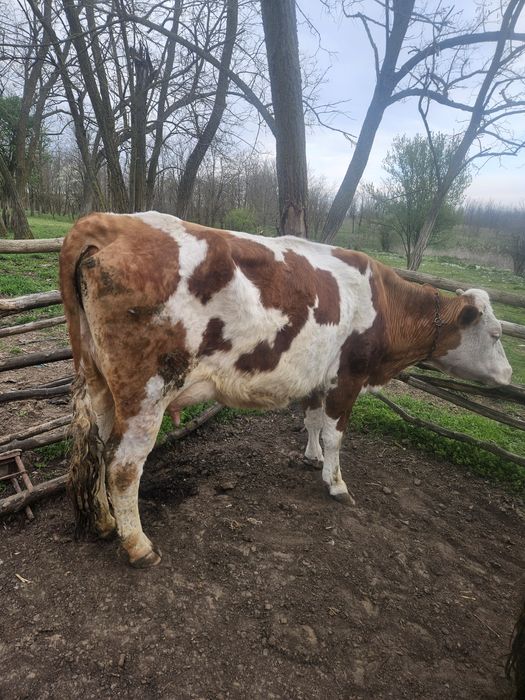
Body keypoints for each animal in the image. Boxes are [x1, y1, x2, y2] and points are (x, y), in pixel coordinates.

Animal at [59, 211, 512, 568]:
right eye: (495, 334)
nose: (509, 375)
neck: (382, 303)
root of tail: (109, 222)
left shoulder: (317, 374)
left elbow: (311, 419)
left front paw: (312, 457)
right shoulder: (348, 377)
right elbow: (335, 434)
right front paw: (336, 483)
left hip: (99, 382)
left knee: (98, 449)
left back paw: (106, 522)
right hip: (146, 392)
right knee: (123, 466)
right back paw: (138, 546)